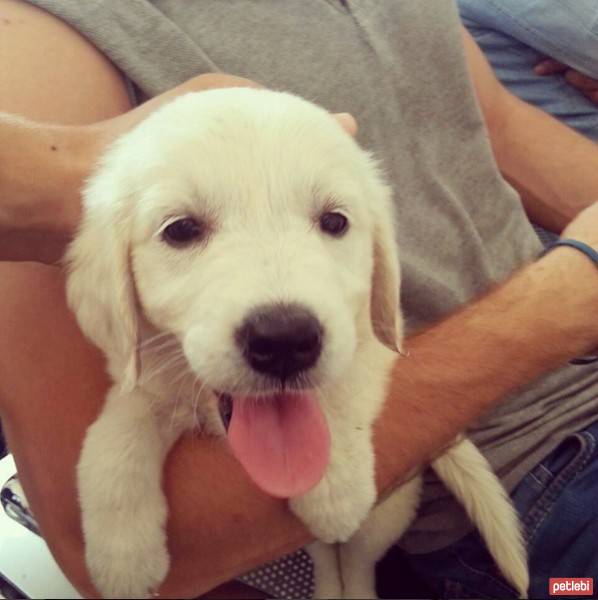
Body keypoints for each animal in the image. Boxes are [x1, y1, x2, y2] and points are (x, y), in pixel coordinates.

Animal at [65, 86, 528, 596]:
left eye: (334, 222)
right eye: (181, 230)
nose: (284, 340)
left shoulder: (371, 343)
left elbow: (342, 390)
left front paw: (334, 487)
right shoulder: (146, 375)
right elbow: (110, 445)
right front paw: (122, 558)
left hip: (389, 509)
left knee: (357, 562)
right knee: (326, 559)